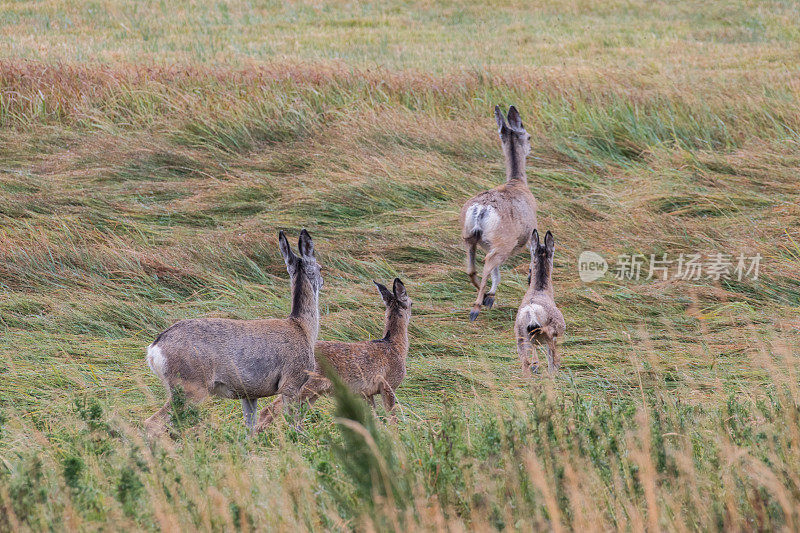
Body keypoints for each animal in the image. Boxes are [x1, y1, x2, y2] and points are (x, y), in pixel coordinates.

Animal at [144, 228, 322, 432]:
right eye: (321, 268)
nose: (323, 280)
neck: (302, 328)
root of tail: (154, 350)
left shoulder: (249, 392)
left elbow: (250, 429)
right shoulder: (292, 382)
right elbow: (295, 426)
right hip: (190, 386)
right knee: (152, 423)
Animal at [260, 276, 412, 426]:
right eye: (411, 303)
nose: (412, 307)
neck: (394, 345)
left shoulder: (367, 393)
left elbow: (373, 418)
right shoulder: (388, 385)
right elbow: (392, 418)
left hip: (312, 393)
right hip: (304, 386)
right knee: (271, 410)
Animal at [456, 104, 536, 320]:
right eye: (528, 136)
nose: (531, 148)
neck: (517, 182)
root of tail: (481, 209)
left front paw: (491, 295)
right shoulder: (530, 230)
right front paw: (530, 276)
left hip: (469, 236)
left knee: (472, 268)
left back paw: (483, 296)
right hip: (503, 241)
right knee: (488, 262)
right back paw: (477, 306)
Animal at [516, 229, 564, 374]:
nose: (528, 278)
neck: (541, 290)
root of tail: (531, 313)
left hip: (520, 339)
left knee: (525, 364)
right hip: (550, 333)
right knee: (551, 359)